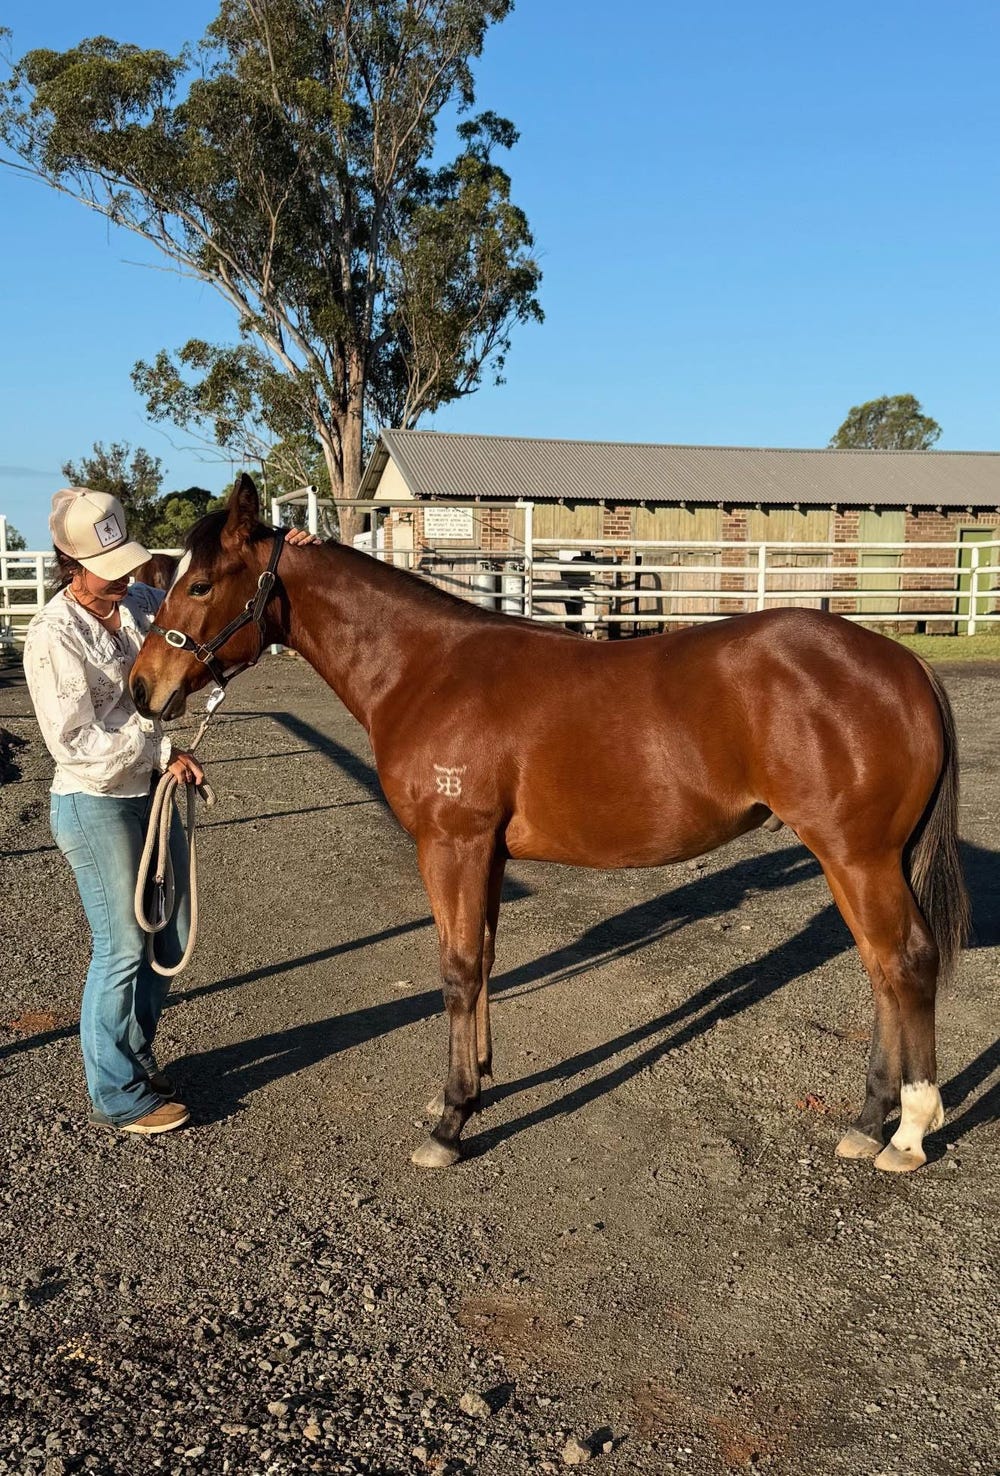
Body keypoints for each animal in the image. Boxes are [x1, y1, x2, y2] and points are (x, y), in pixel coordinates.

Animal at [130, 475, 969, 1174]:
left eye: (200, 583)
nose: (143, 689)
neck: (425, 670)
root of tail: (904, 666)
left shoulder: (452, 846)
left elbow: (457, 969)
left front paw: (450, 1124)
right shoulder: (487, 855)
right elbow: (484, 962)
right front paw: (472, 1088)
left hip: (857, 856)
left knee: (904, 963)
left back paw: (908, 1133)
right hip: (856, 861)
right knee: (881, 970)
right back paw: (866, 1121)